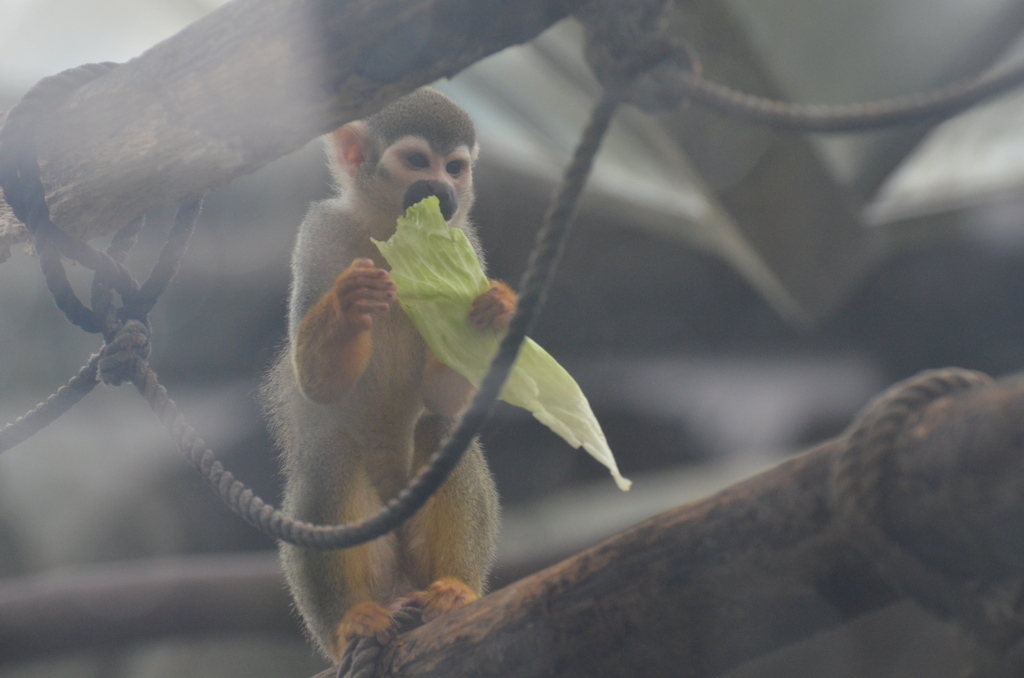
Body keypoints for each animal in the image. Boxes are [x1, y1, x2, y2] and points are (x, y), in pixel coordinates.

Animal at [264, 90, 512, 663]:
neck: (391, 238)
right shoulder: (319, 235)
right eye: (418, 162)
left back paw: (455, 590)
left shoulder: (467, 247)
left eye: (454, 167)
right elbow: (317, 385)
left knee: (440, 429)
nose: (443, 190)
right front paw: (349, 302)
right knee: (329, 449)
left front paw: (491, 312)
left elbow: (443, 396)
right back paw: (351, 619)